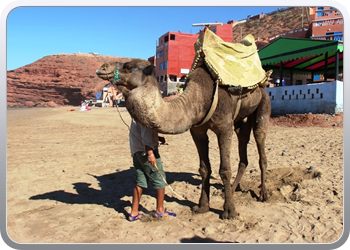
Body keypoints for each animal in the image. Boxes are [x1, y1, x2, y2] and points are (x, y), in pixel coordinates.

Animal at [97, 57, 272, 218]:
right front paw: (202, 207)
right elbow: (204, 169)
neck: (198, 97)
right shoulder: (197, 131)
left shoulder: (224, 127)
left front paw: (229, 211)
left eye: (128, 66)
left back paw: (263, 194)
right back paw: (231, 190)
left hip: (263, 104)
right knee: (243, 149)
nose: (102, 67)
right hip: (241, 122)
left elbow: (224, 170)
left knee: (260, 144)